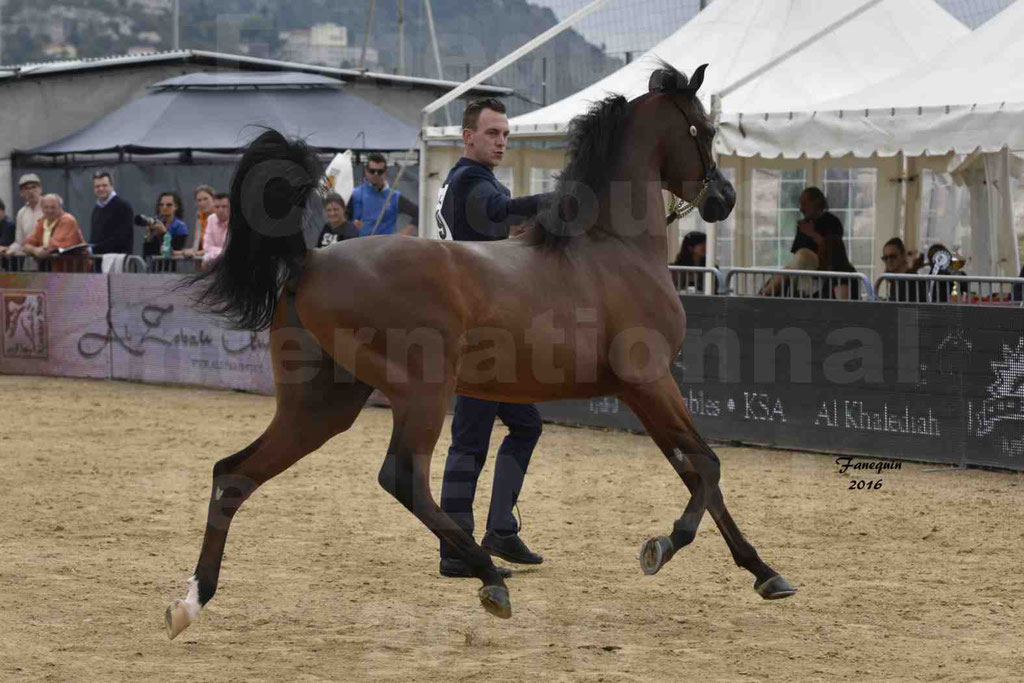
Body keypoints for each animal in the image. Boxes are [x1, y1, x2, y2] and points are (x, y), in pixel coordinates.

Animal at [163, 63, 794, 643]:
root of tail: (309, 259)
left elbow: (696, 472)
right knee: (402, 478)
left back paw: (190, 602)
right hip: (420, 392)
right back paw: (488, 577)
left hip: (322, 405)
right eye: (703, 130)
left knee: (233, 475)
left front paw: (765, 572)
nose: (723, 199)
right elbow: (708, 466)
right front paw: (662, 546)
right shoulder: (650, 381)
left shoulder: (641, 391)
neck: (610, 249)